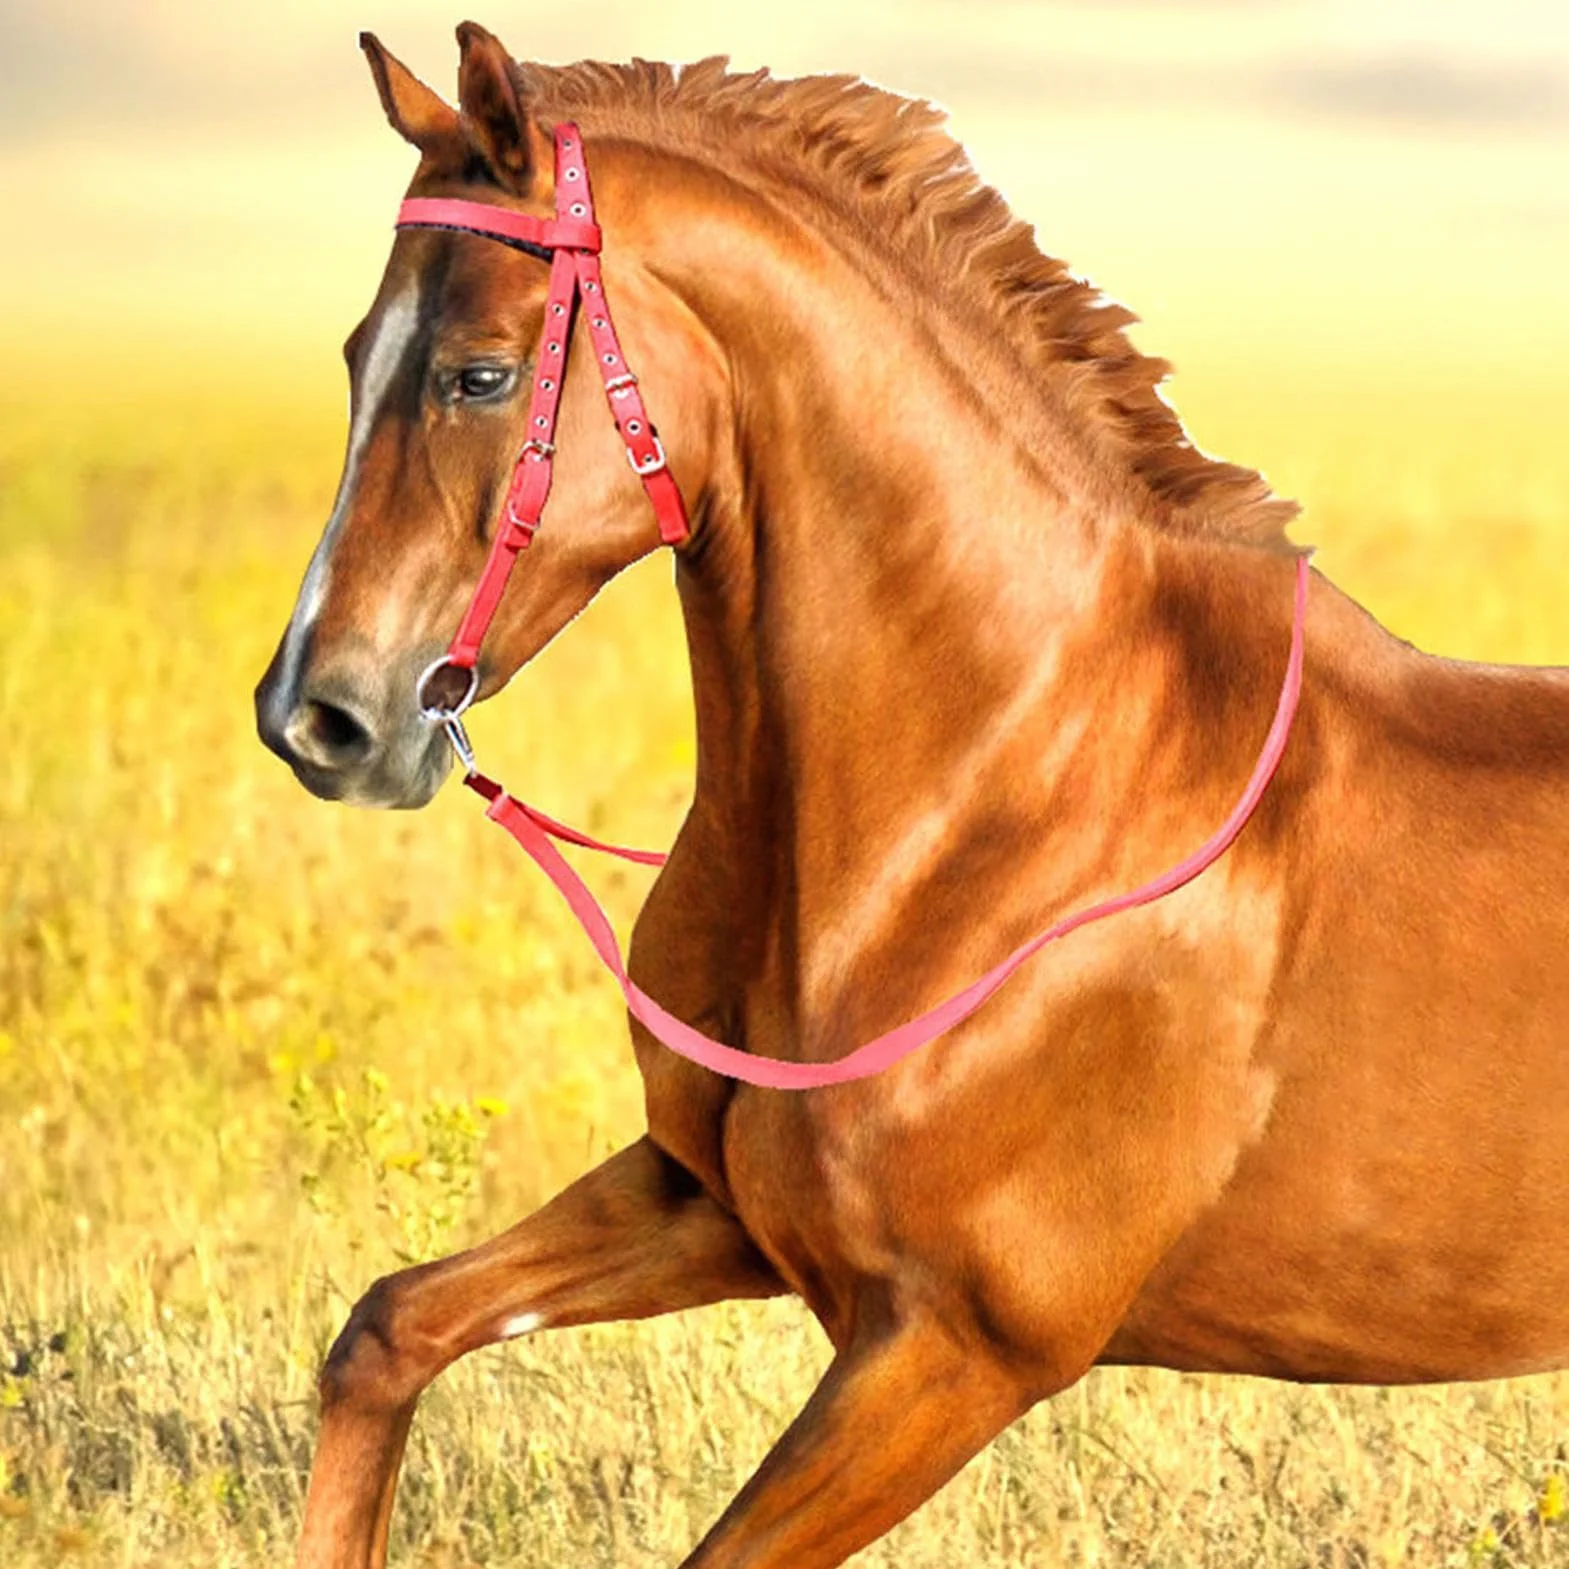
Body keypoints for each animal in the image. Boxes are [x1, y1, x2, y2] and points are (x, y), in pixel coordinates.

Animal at [254, 24, 1569, 1569]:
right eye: (358, 356)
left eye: (478, 374)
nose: (317, 716)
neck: (1009, 793)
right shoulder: (713, 1204)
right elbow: (385, 1328)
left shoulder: (956, 1351)